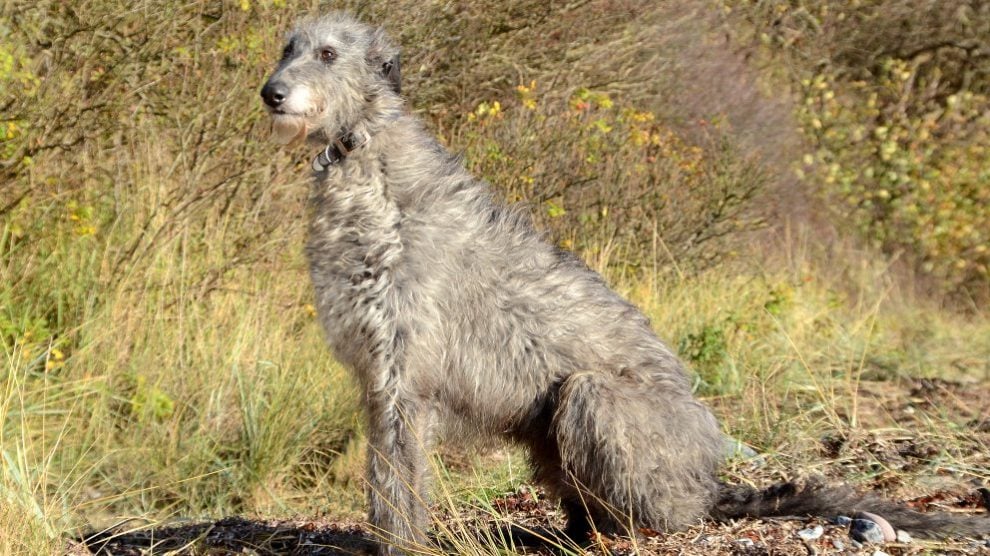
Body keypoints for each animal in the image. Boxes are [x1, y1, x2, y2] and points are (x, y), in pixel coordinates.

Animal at [264, 10, 990, 552]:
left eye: (328, 52)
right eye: (287, 46)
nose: (271, 92)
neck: (373, 169)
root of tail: (707, 482)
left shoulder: (403, 380)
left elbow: (397, 485)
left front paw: (399, 545)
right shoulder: (379, 377)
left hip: (595, 400)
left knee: (647, 506)